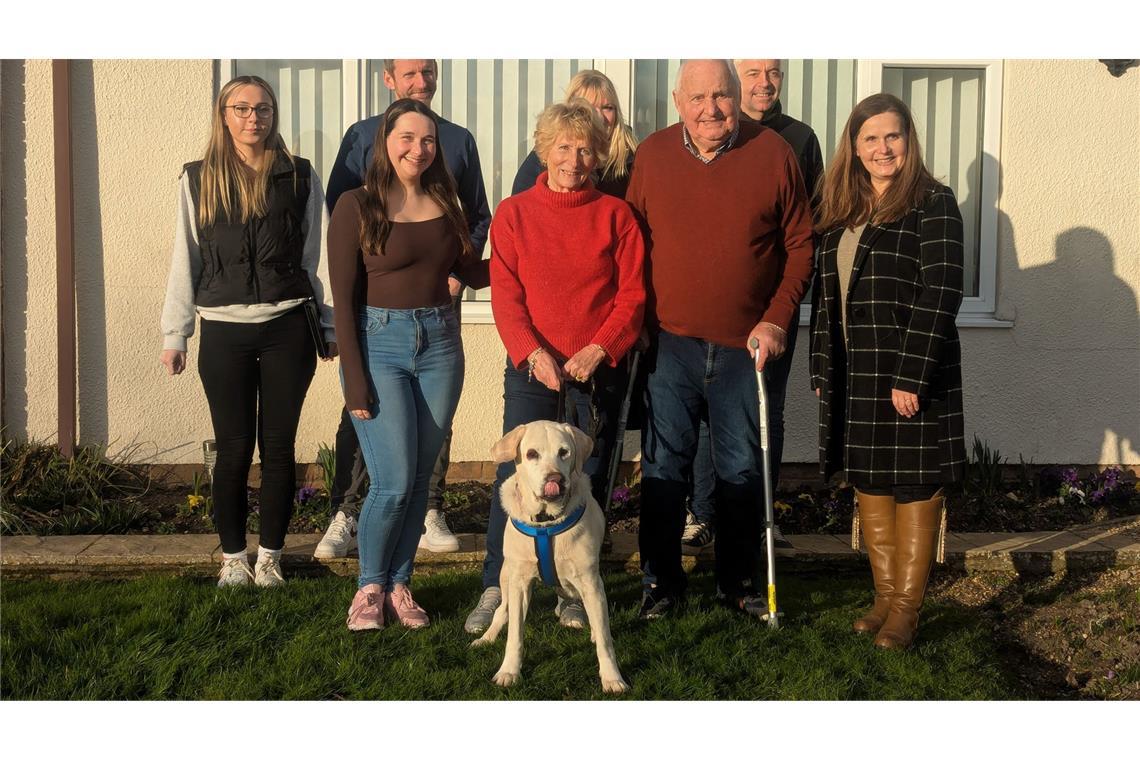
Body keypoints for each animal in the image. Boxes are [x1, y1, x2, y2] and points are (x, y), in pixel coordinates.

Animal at [471, 421, 633, 697]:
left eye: (564, 452)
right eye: (531, 454)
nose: (555, 479)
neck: (546, 523)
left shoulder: (591, 582)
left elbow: (604, 638)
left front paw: (612, 678)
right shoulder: (519, 584)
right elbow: (515, 634)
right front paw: (509, 672)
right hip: (506, 576)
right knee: (501, 611)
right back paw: (486, 638)